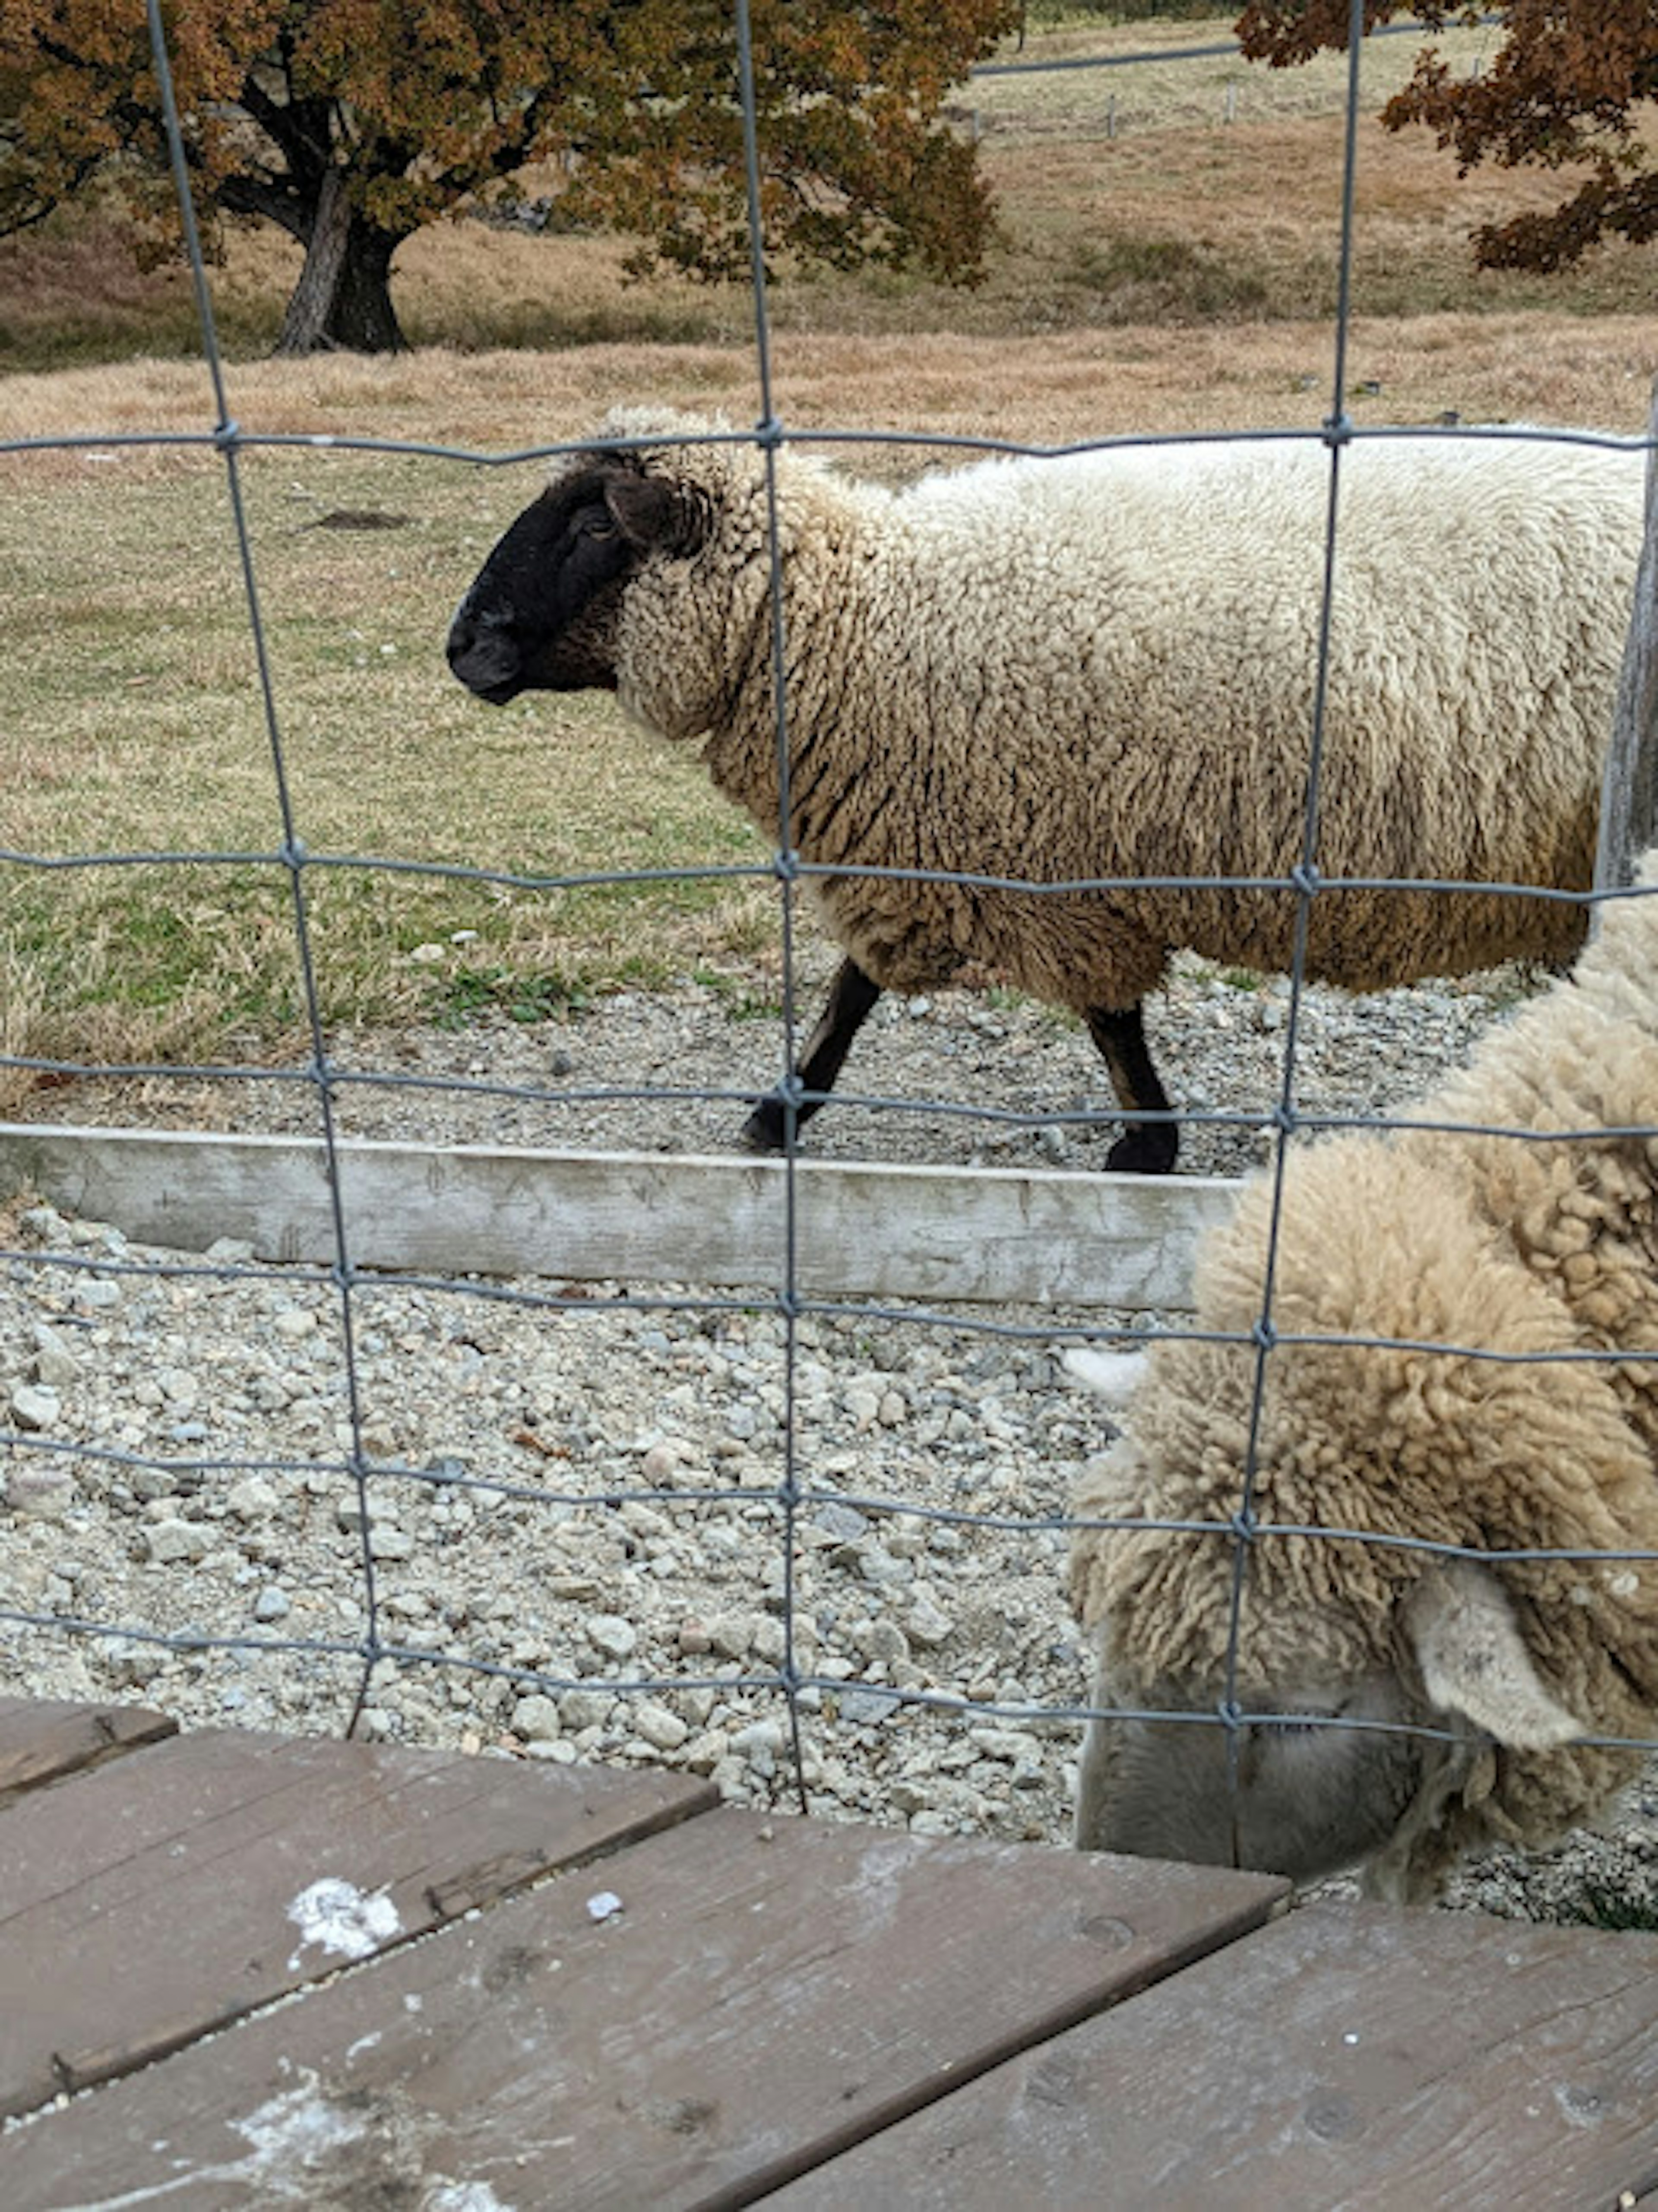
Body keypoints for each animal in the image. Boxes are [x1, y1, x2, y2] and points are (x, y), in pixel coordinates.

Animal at [444, 414, 1653, 1177]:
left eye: (596, 524)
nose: (461, 648)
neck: (851, 614)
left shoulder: (1049, 862)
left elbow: (1108, 1019)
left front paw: (1147, 1142)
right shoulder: (929, 835)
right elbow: (853, 989)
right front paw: (784, 1105)